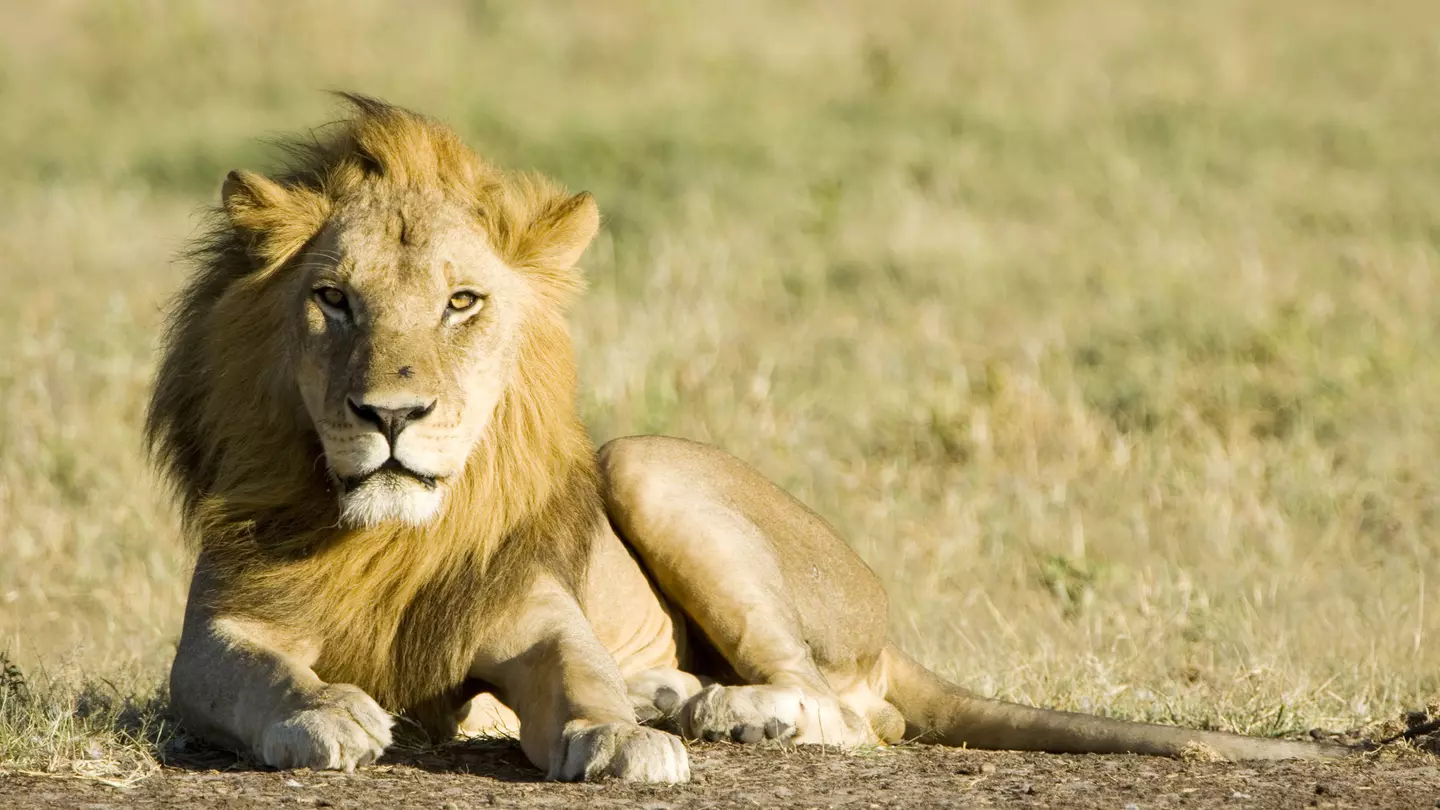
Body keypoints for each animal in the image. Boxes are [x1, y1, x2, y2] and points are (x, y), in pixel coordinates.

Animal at [145, 94, 1350, 782]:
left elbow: (578, 677)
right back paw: (681, 697)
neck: (393, 533)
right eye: (334, 301)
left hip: (647, 464)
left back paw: (721, 714)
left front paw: (620, 738)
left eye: (461, 303)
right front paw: (327, 717)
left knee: (845, 710)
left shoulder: (538, 614)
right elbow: (259, 680)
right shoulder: (212, 638)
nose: (391, 418)